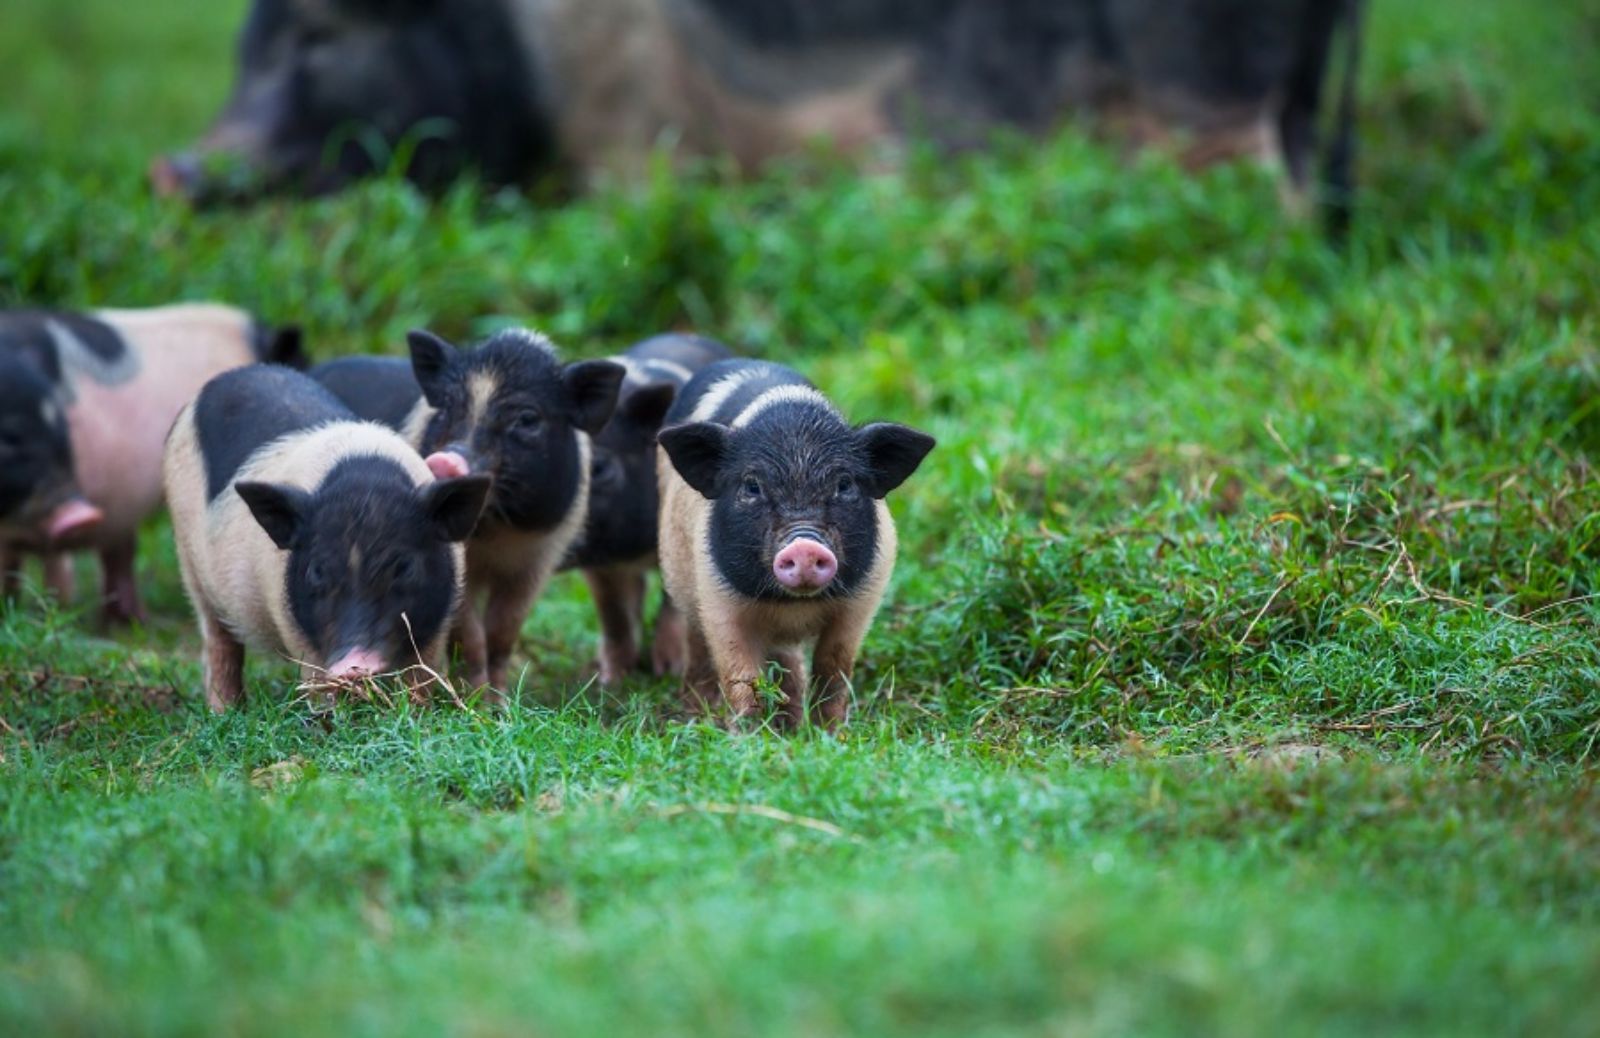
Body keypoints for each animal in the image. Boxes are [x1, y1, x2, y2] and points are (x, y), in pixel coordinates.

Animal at [163, 364, 489, 713]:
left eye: (404, 567)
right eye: (317, 570)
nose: (354, 664)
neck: (364, 485)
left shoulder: (437, 623)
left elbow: (420, 677)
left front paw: (416, 713)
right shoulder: (296, 628)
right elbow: (318, 679)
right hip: (189, 564)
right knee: (219, 643)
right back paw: (225, 711)